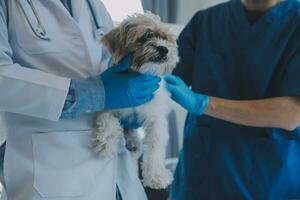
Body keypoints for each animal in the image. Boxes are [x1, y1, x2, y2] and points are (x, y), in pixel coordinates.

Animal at [93, 12, 178, 189]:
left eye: (165, 38)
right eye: (146, 36)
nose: (164, 48)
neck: (136, 76)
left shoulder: (156, 120)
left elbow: (154, 148)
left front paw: (155, 176)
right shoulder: (110, 102)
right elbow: (108, 121)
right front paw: (106, 143)